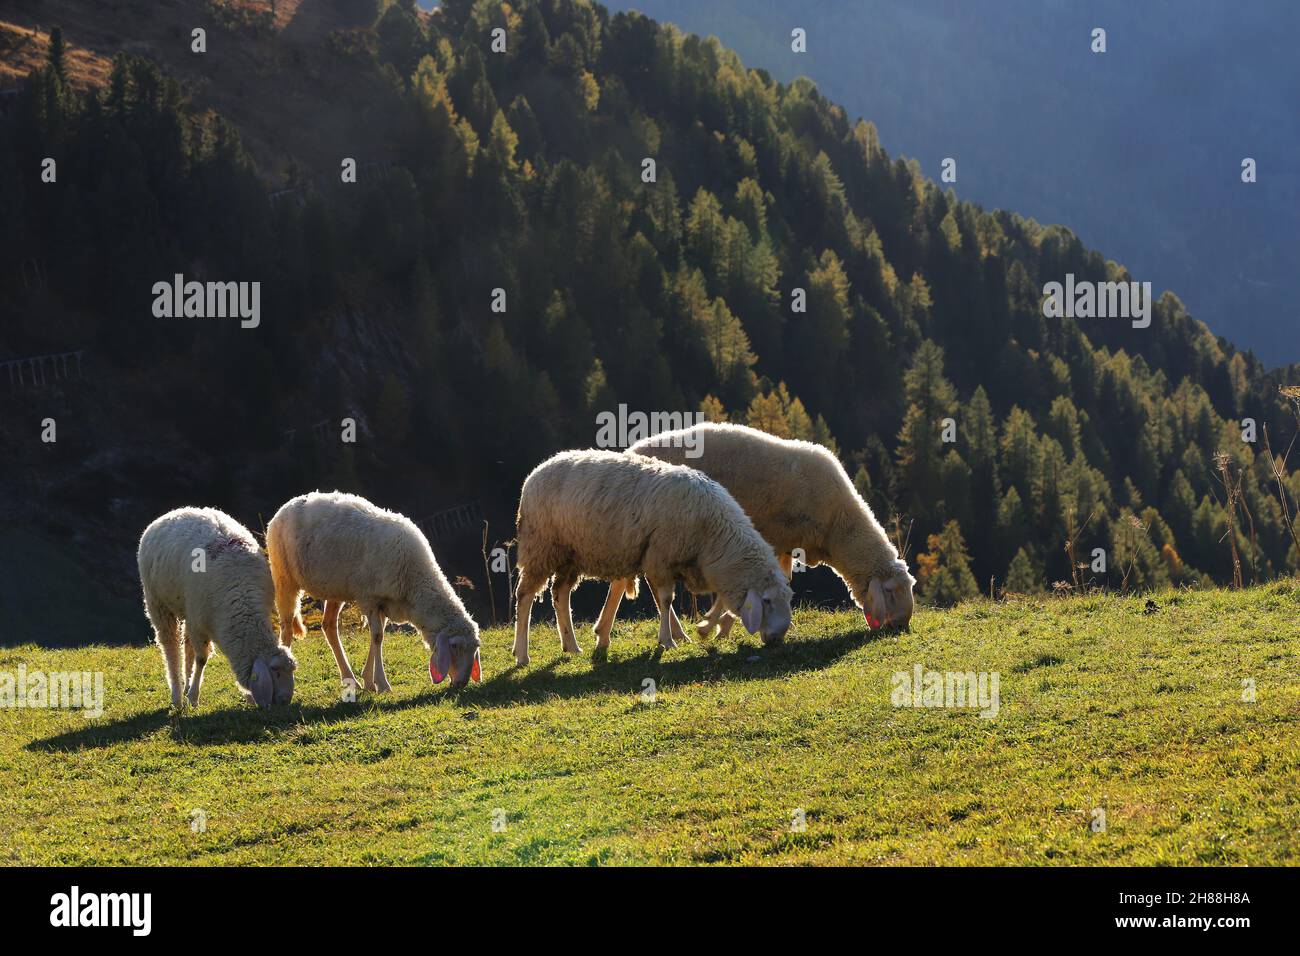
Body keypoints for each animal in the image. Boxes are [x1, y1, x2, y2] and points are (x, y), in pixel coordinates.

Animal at [137, 509, 299, 712]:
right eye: (275, 671)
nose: (285, 701)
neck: (241, 596)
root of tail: (176, 511)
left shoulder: (204, 620)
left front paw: (249, 697)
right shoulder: (199, 622)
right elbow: (201, 659)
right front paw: (193, 698)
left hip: (188, 609)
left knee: (187, 645)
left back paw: (186, 685)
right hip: (158, 602)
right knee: (170, 647)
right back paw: (177, 695)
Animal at [265, 496, 483, 691]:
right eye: (455, 646)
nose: (462, 683)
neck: (415, 581)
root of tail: (286, 505)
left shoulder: (384, 602)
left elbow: (377, 636)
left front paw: (370, 682)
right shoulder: (369, 598)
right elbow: (377, 636)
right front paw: (382, 684)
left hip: (335, 588)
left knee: (328, 626)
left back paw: (350, 679)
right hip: (284, 578)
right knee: (287, 628)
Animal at [506, 450, 790, 665]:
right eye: (766, 601)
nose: (778, 638)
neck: (713, 533)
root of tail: (535, 473)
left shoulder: (677, 561)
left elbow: (702, 599)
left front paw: (698, 629)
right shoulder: (660, 556)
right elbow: (665, 600)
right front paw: (669, 640)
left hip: (570, 554)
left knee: (560, 593)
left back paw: (571, 645)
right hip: (541, 547)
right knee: (525, 595)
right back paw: (521, 654)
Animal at [592, 424, 915, 642]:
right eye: (891, 591)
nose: (901, 626)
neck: (838, 526)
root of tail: (632, 451)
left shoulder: (783, 545)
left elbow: (782, 580)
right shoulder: (769, 539)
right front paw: (718, 627)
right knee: (630, 582)